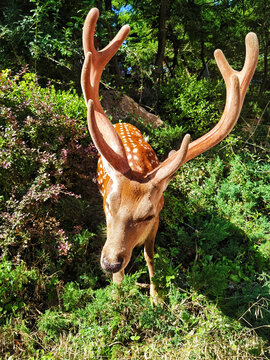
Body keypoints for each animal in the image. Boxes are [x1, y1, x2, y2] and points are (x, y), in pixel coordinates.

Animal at [80, 7, 260, 300]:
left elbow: (151, 255)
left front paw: (157, 298)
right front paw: (117, 295)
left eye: (148, 215)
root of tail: (122, 122)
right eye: (109, 204)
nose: (109, 263)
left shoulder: (157, 221)